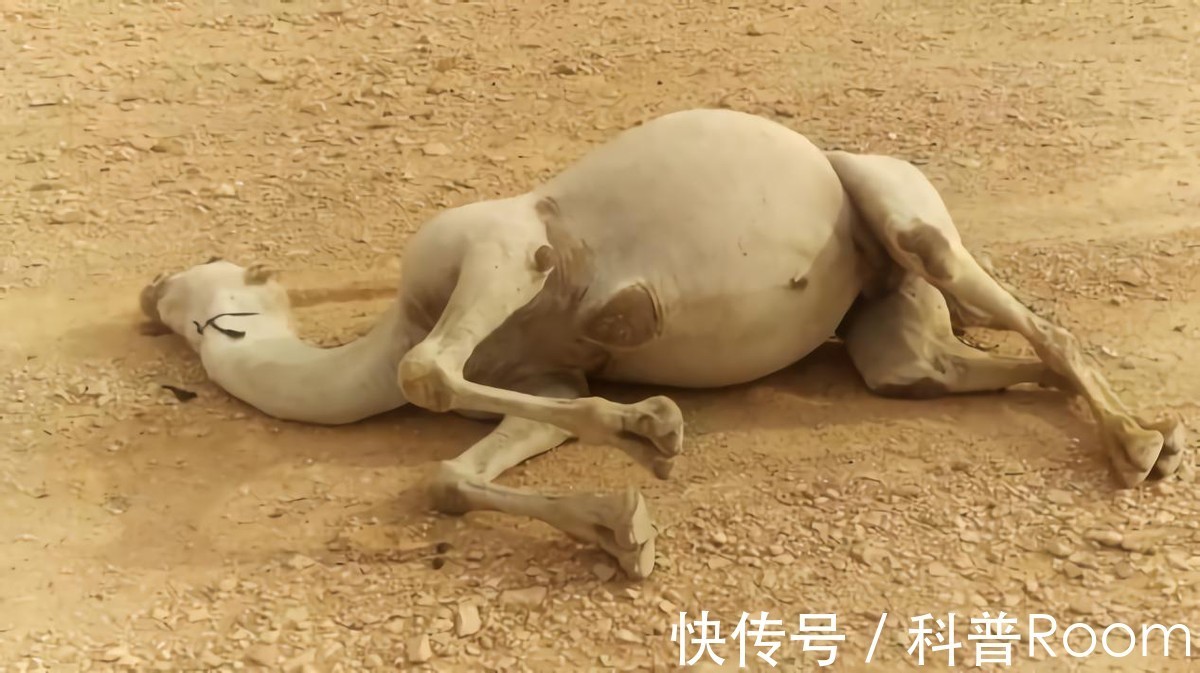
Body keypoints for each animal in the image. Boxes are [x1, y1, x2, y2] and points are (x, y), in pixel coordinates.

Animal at [139, 108, 1186, 580]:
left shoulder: (501, 246)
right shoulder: (547, 377)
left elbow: (427, 367)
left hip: (901, 206)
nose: (147, 296)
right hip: (889, 326)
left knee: (1023, 309)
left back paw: (1137, 444)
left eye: (204, 278)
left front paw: (652, 429)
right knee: (926, 366)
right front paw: (623, 527)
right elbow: (451, 472)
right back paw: (1154, 435)